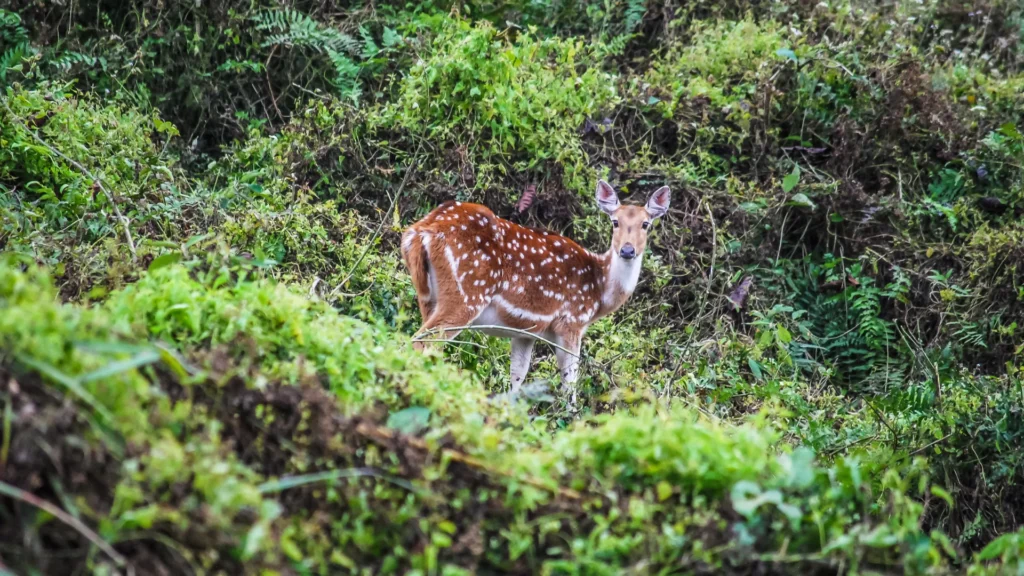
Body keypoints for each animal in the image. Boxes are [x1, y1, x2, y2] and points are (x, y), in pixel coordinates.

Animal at [400, 180, 670, 407]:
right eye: (615, 222)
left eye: (646, 224)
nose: (627, 250)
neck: (599, 289)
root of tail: (422, 231)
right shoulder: (571, 321)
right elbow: (570, 380)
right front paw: (571, 417)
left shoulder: (526, 331)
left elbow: (518, 375)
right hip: (466, 293)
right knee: (422, 342)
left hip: (426, 295)